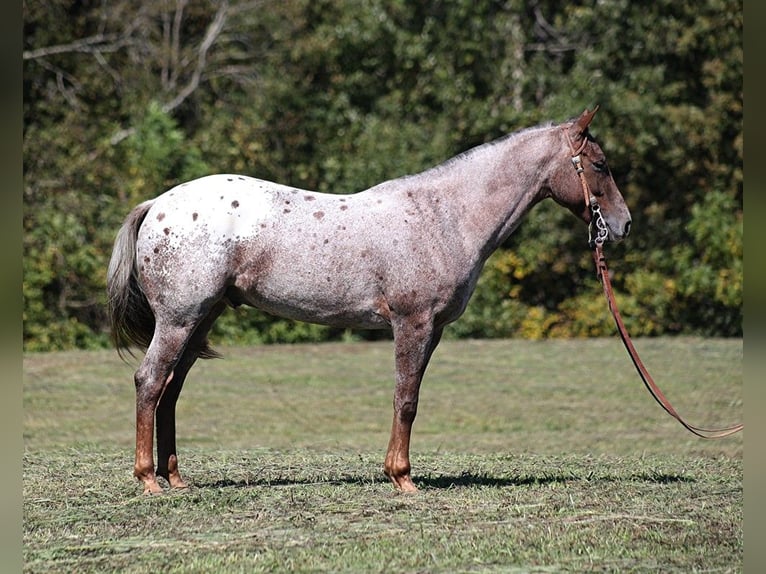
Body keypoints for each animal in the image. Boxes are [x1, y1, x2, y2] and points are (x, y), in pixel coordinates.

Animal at [107, 107, 631, 494]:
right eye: (600, 165)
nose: (623, 224)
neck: (443, 216)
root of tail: (156, 205)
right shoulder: (412, 323)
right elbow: (406, 398)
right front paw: (402, 479)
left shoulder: (431, 331)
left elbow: (409, 396)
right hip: (179, 320)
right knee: (149, 382)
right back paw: (148, 480)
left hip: (200, 320)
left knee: (170, 390)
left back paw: (175, 479)